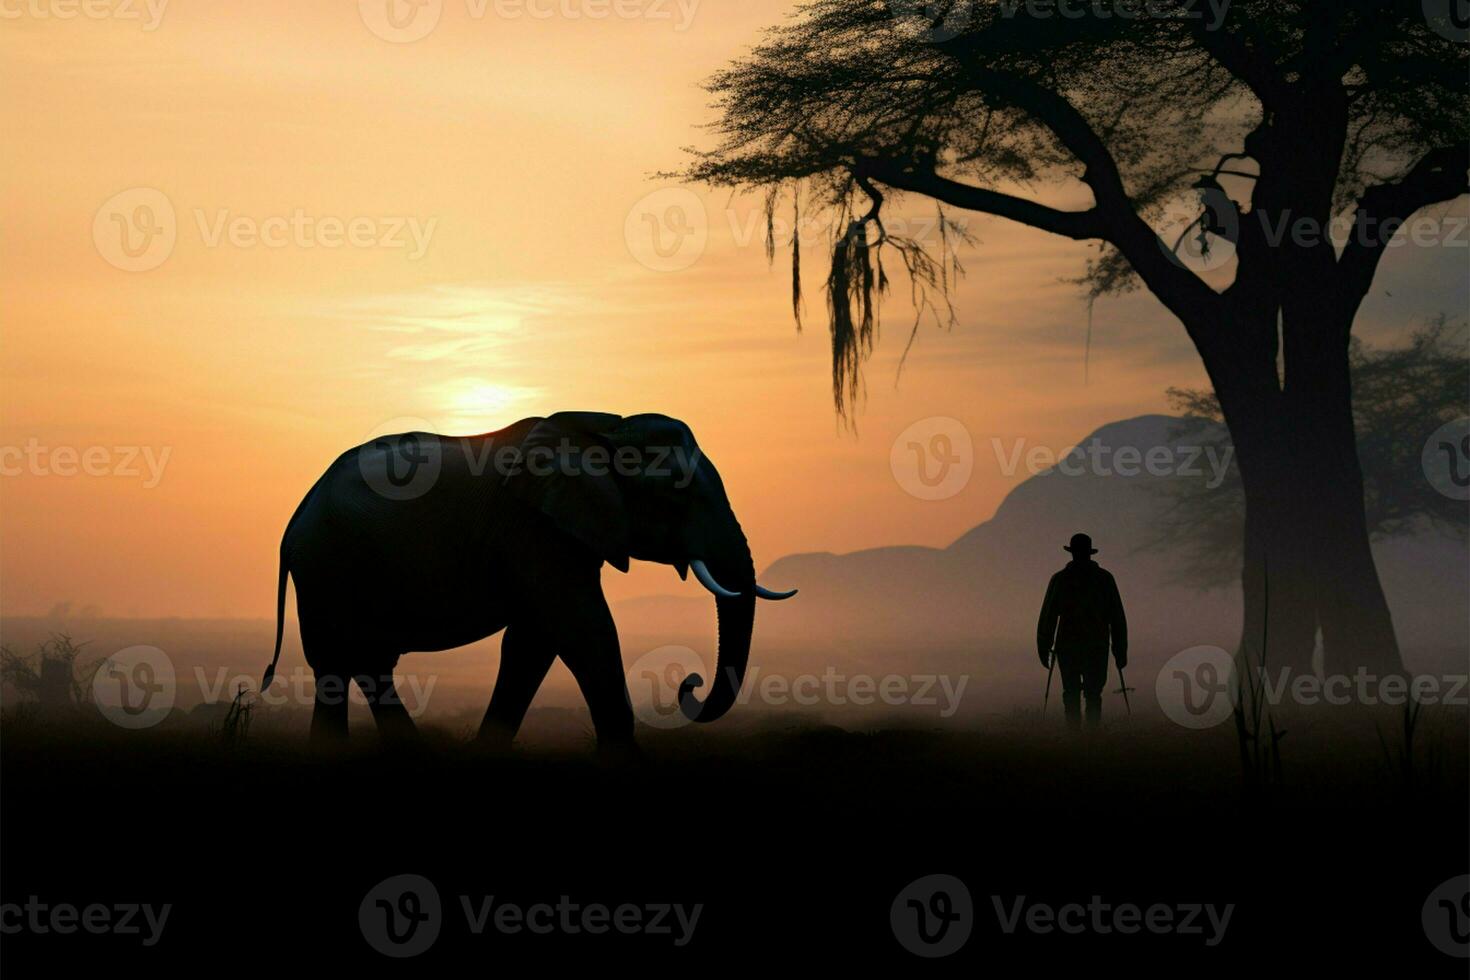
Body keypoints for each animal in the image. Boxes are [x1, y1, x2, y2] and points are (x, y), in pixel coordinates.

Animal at [258, 411, 799, 752]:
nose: (688, 683)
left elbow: (533, 642)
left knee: (365, 666)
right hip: (327, 567)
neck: (608, 428)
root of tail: (296, 517)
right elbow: (583, 630)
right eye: (677, 497)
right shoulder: (536, 531)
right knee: (338, 665)